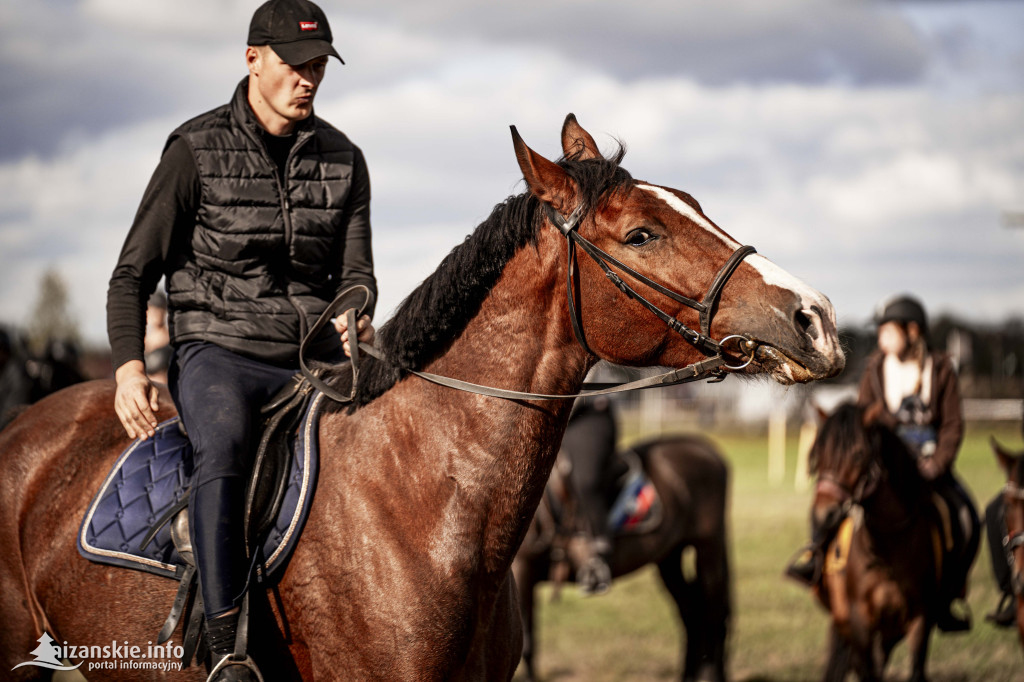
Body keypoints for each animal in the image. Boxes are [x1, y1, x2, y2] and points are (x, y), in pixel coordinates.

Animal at [516, 430, 733, 679]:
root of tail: (706, 448)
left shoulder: (522, 570)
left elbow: (526, 643)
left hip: (708, 550)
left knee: (713, 615)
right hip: (670, 557)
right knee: (691, 613)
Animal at [806, 403, 974, 679]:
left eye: (859, 454)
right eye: (820, 453)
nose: (823, 515)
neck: (888, 550)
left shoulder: (920, 619)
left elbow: (915, 668)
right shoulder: (859, 623)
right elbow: (866, 670)